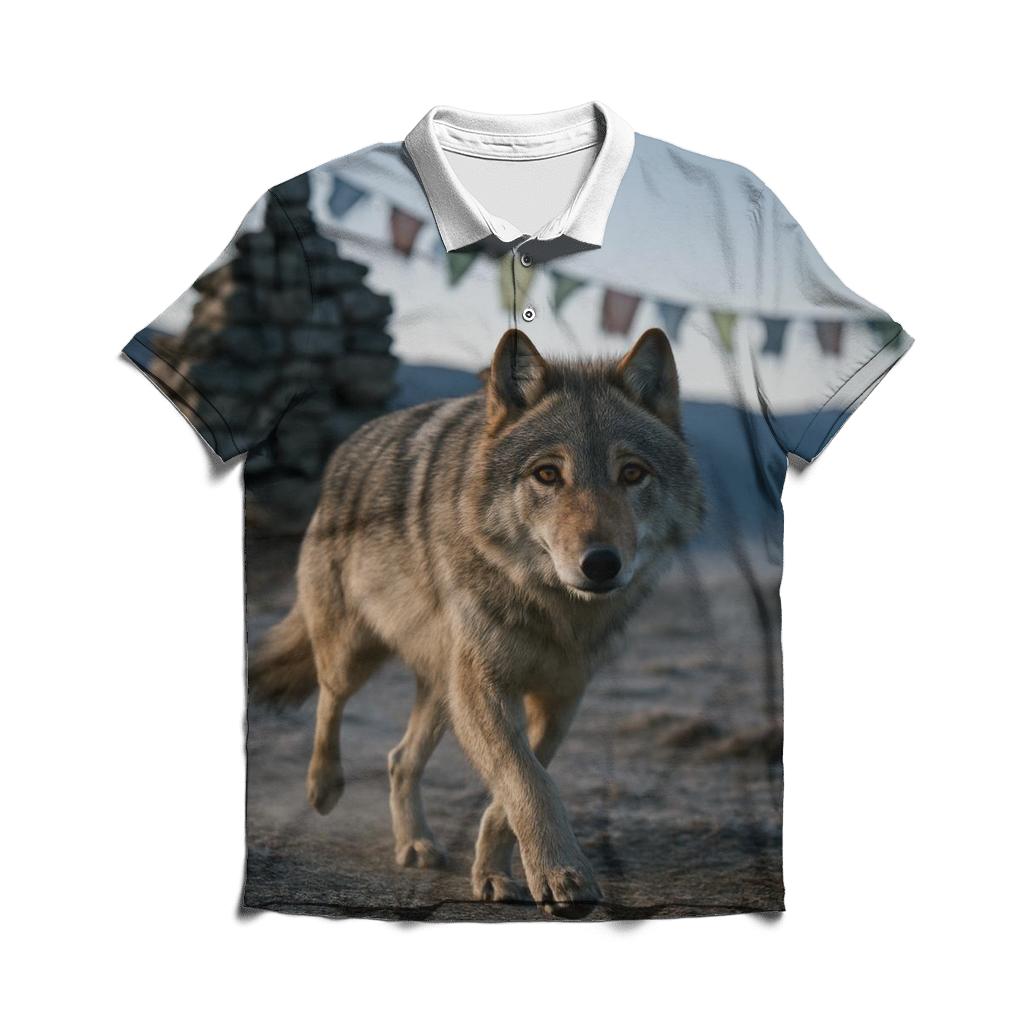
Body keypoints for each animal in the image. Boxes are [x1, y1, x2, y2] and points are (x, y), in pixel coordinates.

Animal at [251, 326, 705, 917]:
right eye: (547, 474)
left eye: (632, 474)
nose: (602, 563)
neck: (552, 610)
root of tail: (347, 447)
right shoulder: (484, 688)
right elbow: (527, 781)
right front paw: (562, 874)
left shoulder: (560, 700)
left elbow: (515, 790)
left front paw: (494, 871)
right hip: (356, 655)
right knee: (330, 700)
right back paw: (324, 787)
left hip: (443, 693)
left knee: (399, 759)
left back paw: (415, 844)